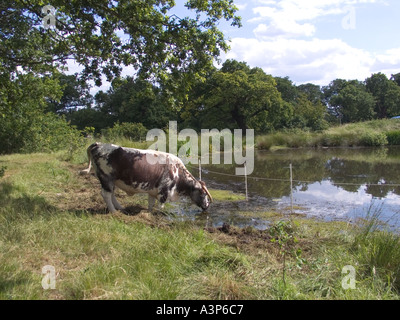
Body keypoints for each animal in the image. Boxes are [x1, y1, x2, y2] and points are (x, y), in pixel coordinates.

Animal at [81, 142, 212, 212]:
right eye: (202, 194)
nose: (207, 206)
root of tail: (99, 144)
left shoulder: (152, 192)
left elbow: (150, 204)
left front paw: (149, 213)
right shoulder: (163, 192)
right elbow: (160, 207)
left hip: (111, 181)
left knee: (112, 194)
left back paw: (120, 208)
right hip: (106, 178)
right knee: (106, 194)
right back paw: (113, 211)